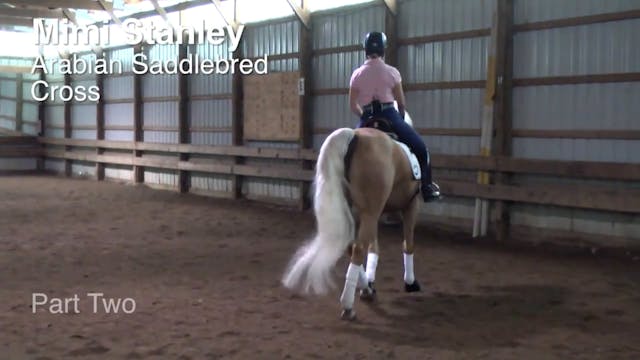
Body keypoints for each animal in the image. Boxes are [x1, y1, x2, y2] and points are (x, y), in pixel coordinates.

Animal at [282, 110, 422, 320]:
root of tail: (354, 136)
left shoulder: (376, 212)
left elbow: (374, 248)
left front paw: (371, 282)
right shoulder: (411, 205)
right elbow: (408, 244)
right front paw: (410, 282)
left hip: (364, 213)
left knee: (352, 247)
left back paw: (366, 289)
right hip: (370, 213)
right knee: (357, 249)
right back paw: (348, 304)